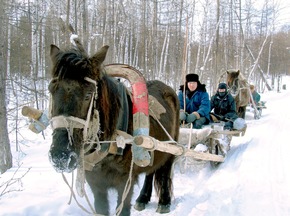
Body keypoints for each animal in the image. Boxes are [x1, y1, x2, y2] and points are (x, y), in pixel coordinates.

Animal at [47, 41, 179, 215]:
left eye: (88, 95)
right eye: (51, 90)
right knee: (150, 171)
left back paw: (164, 202)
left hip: (171, 149)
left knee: (164, 171)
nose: (61, 156)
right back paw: (142, 199)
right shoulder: (95, 183)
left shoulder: (125, 183)